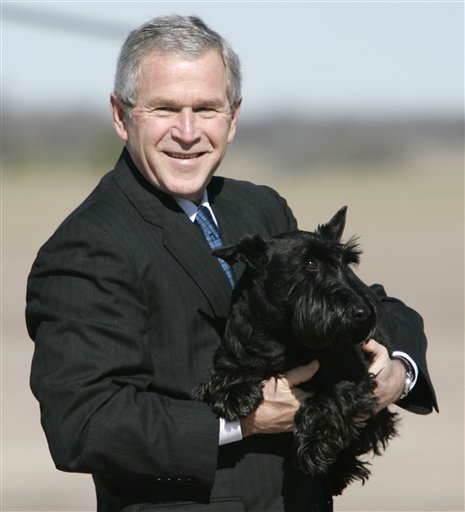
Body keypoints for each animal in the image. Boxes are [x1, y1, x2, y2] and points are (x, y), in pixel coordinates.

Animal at [192, 206, 396, 494]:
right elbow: (230, 369)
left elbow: (326, 401)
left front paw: (313, 446)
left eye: (345, 264)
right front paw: (234, 392)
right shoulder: (233, 354)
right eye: (310, 263)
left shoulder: (353, 376)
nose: (362, 312)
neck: (281, 335)